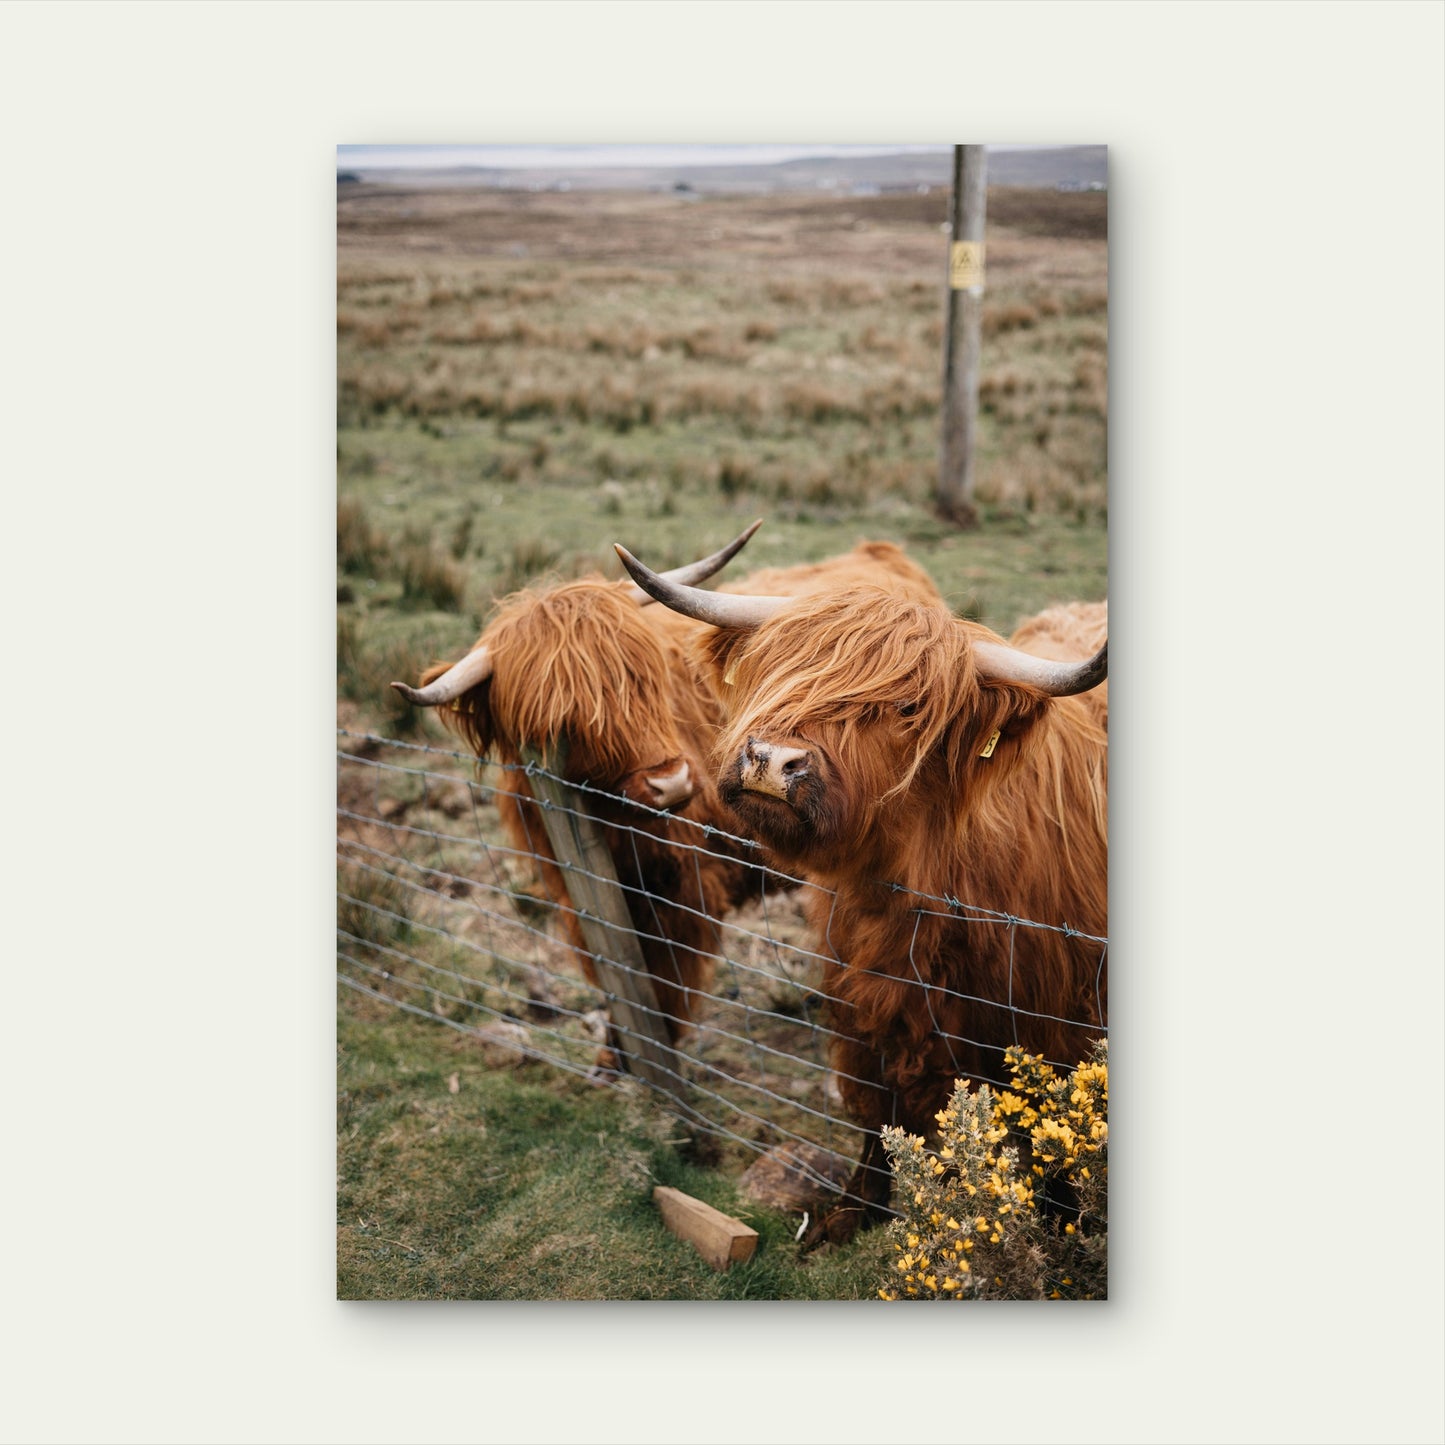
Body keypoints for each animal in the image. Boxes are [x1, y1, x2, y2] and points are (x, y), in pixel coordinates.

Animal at [392, 525, 943, 1083]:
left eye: (647, 680)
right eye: (562, 722)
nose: (672, 783)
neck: (613, 831)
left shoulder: (685, 887)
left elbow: (666, 975)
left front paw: (658, 1053)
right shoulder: (576, 890)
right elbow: (616, 969)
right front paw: (613, 1056)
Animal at [614, 542, 1107, 1248]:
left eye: (905, 710)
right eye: (778, 667)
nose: (772, 760)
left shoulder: (1056, 1030)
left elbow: (1059, 1150)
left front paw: (1065, 1230)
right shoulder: (866, 1002)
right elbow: (879, 1116)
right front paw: (847, 1216)